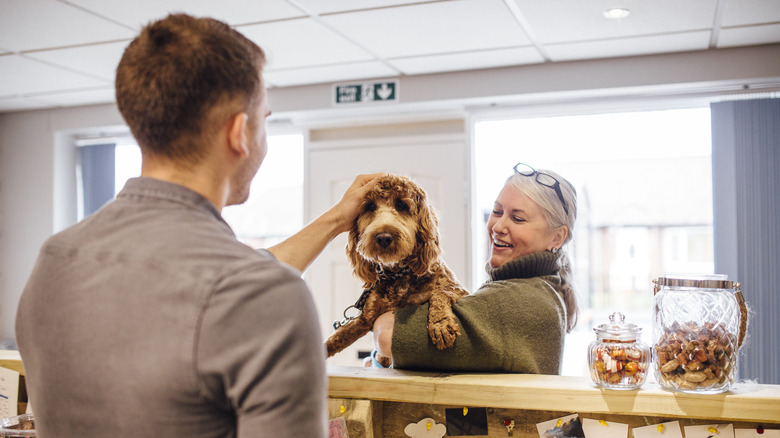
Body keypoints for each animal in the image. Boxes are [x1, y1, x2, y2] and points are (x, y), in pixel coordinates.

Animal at [324, 174, 466, 366]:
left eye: (401, 205)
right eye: (370, 207)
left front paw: (440, 325)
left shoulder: (459, 290)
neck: (398, 273)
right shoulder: (366, 319)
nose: (383, 237)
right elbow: (338, 336)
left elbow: (441, 292)